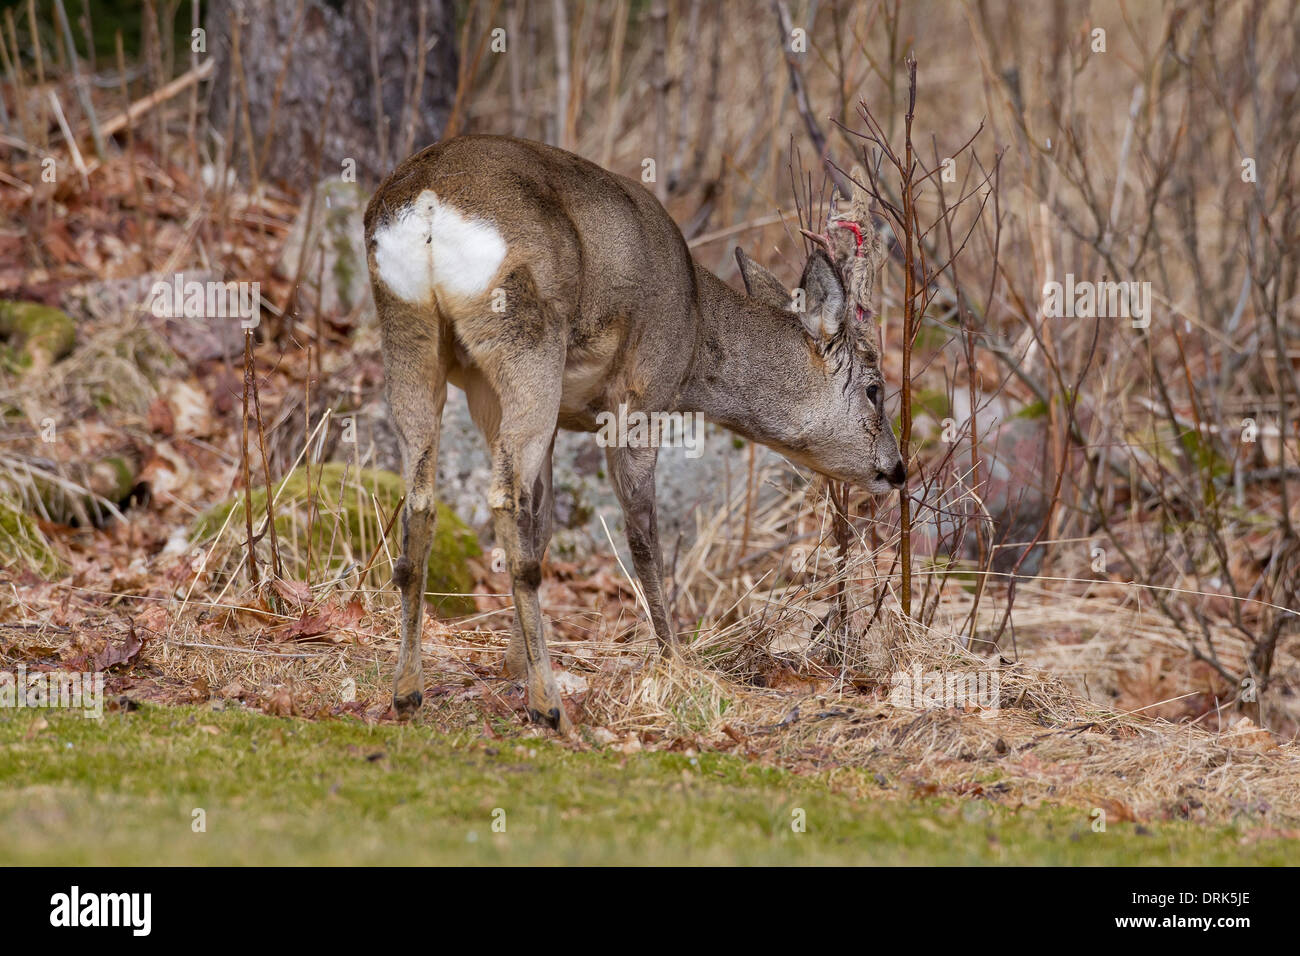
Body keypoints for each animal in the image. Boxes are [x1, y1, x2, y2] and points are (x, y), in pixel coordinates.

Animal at [361, 132, 899, 733]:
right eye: (875, 388)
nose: (895, 469)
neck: (695, 334)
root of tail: (430, 202)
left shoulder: (536, 413)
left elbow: (543, 523)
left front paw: (513, 665)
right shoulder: (640, 397)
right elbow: (643, 535)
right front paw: (676, 662)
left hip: (410, 331)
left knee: (423, 501)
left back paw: (408, 691)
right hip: (526, 338)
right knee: (502, 497)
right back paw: (547, 703)